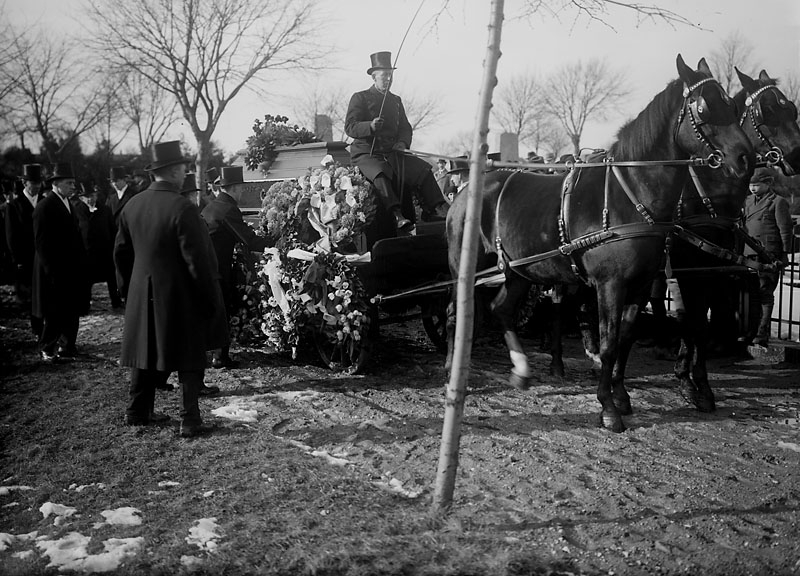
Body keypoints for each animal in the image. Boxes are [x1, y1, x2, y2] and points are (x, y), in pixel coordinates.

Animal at [445, 55, 754, 433]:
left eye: (732, 105)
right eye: (703, 107)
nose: (746, 157)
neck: (631, 194)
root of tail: (466, 190)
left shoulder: (640, 285)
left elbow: (624, 338)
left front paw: (620, 396)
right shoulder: (610, 284)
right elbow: (608, 344)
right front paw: (608, 407)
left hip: (519, 270)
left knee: (500, 309)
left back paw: (521, 369)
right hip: (466, 268)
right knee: (457, 312)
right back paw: (453, 371)